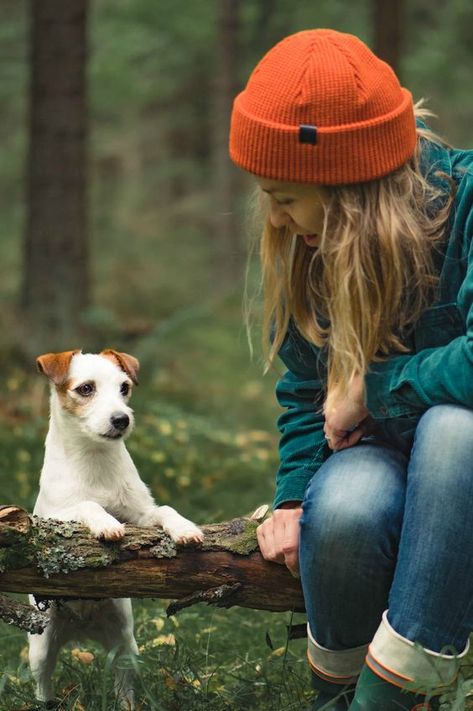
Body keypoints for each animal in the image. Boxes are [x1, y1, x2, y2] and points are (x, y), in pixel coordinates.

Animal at [27, 350, 201, 708]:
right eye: (86, 388)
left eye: (124, 387)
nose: (122, 419)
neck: (95, 461)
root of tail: (81, 627)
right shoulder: (54, 520)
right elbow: (86, 506)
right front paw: (106, 523)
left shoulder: (141, 515)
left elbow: (164, 510)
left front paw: (183, 528)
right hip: (41, 646)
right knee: (43, 681)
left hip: (125, 644)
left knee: (124, 685)